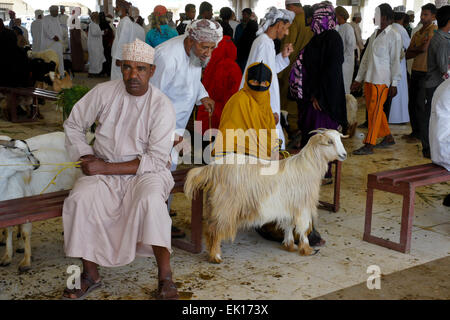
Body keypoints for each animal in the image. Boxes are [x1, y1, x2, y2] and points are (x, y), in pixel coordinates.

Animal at [0, 131, 81, 272]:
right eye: (19, 151)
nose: (37, 163)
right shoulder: (9, 208)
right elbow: (7, 231)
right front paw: (7, 257)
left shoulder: (25, 204)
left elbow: (25, 233)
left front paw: (26, 262)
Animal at [185, 129, 346, 264]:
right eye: (329, 142)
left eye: (339, 138)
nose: (344, 155)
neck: (307, 167)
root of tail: (213, 168)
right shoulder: (303, 206)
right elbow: (303, 228)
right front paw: (306, 249)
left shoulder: (288, 206)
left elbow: (288, 225)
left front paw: (289, 245)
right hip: (225, 206)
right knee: (216, 229)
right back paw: (216, 256)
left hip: (215, 205)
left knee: (209, 229)